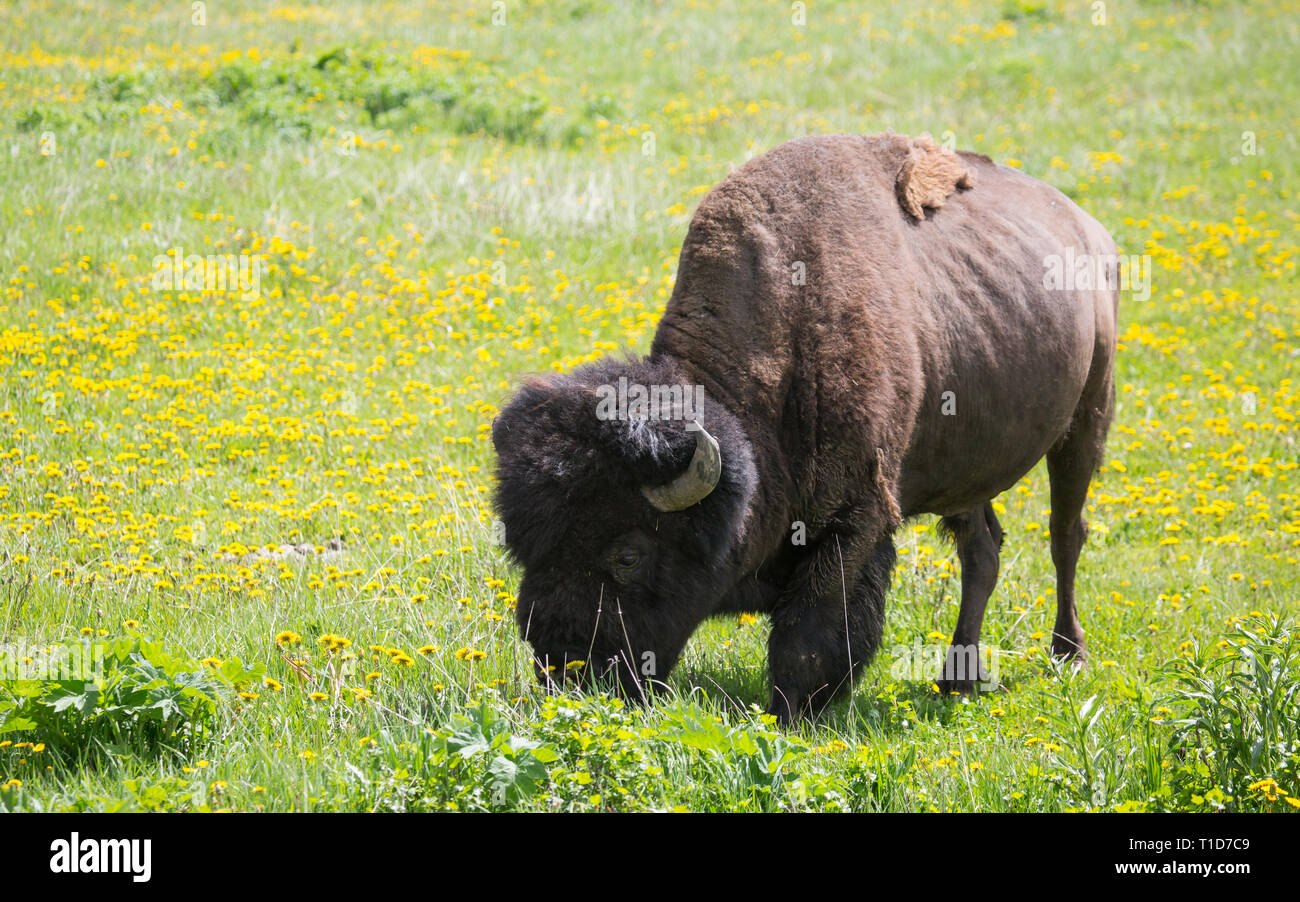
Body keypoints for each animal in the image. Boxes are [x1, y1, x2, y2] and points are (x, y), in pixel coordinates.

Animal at [492, 132, 1119, 722]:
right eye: (521, 544)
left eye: (627, 556)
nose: (561, 664)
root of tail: (1091, 230)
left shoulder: (856, 520)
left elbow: (807, 638)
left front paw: (792, 716)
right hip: (967, 467)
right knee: (982, 552)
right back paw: (956, 681)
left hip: (1088, 420)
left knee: (1065, 536)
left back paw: (1069, 655)